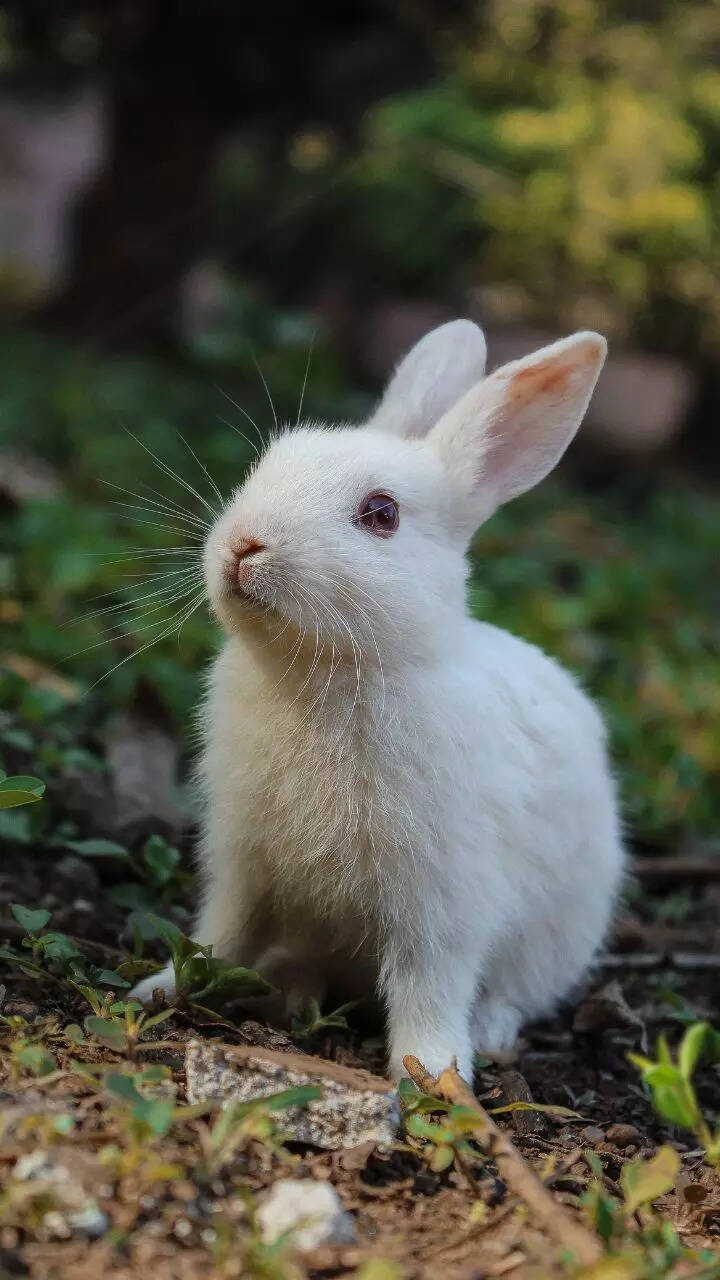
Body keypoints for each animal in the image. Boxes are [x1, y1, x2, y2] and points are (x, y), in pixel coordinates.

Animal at [133, 320, 625, 1083]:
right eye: (266, 464)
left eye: (381, 514)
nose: (244, 545)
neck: (329, 672)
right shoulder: (242, 861)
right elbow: (221, 932)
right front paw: (161, 988)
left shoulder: (441, 900)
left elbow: (429, 985)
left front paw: (434, 1074)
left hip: (558, 933)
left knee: (515, 992)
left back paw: (488, 1031)